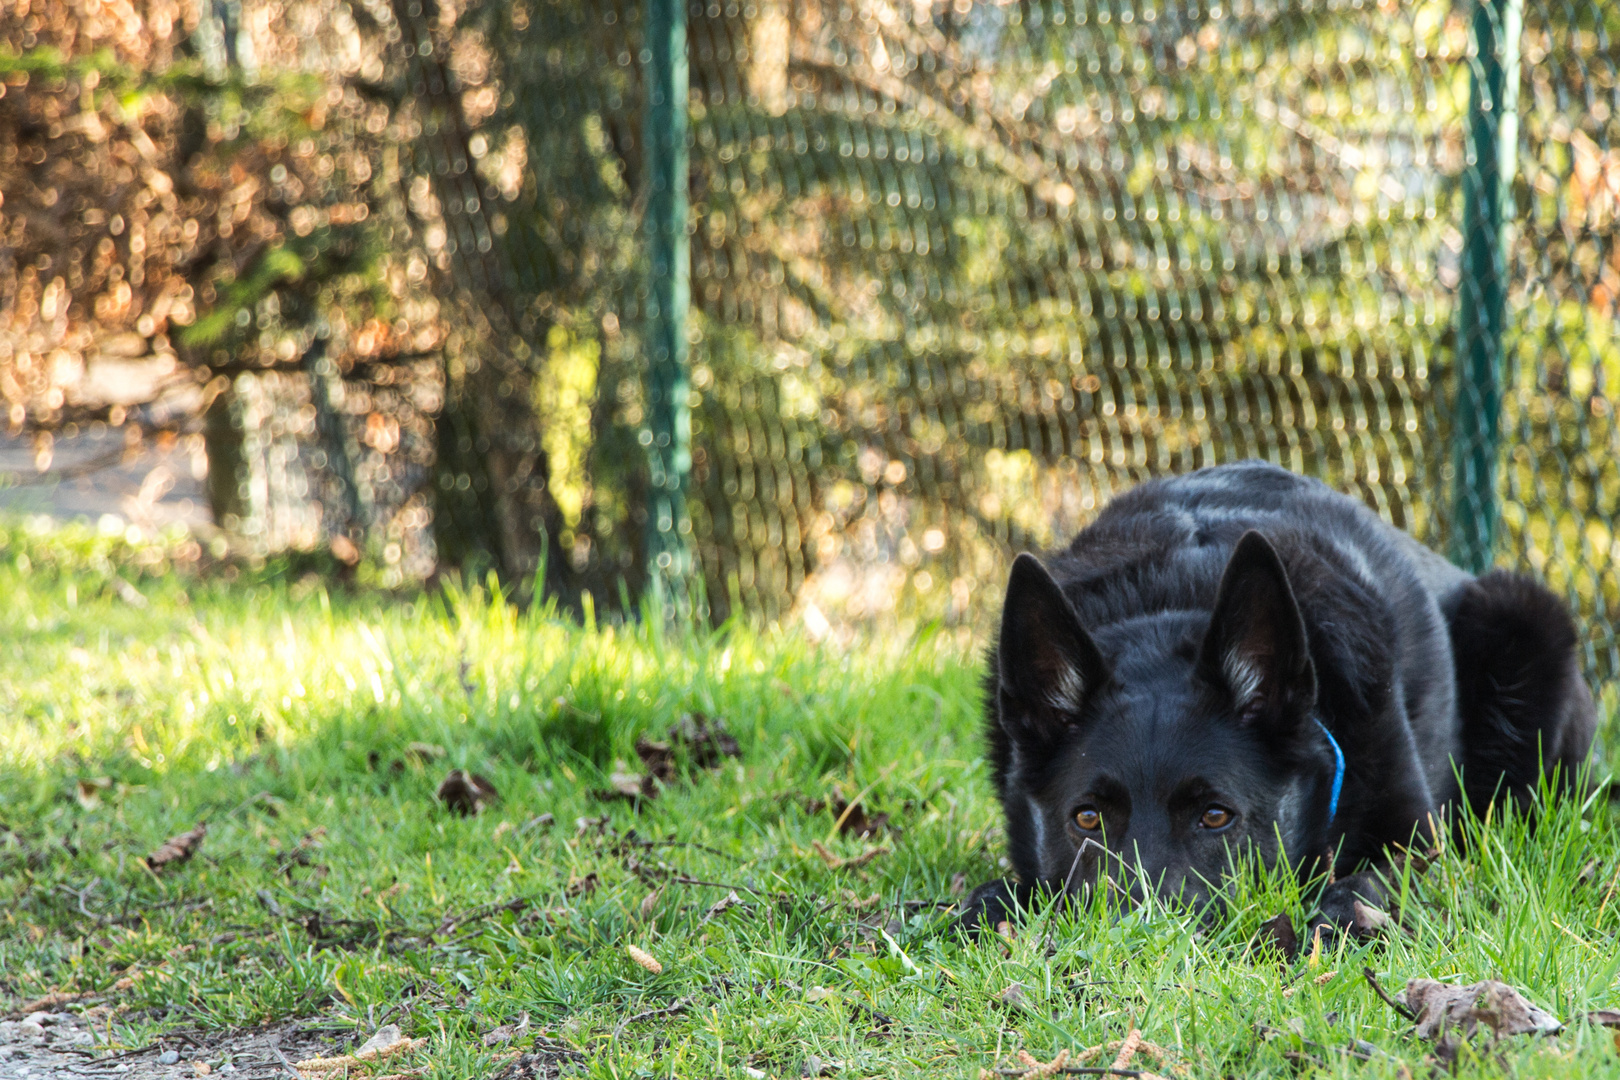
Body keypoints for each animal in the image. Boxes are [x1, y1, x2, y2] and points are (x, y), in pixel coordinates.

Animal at [959, 459, 1594, 932]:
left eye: (1216, 816)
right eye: (1087, 819)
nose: (1139, 945)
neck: (1170, 604)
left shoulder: (1418, 842)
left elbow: (1366, 883)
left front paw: (1336, 917)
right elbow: (989, 896)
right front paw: (986, 908)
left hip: (1520, 617)